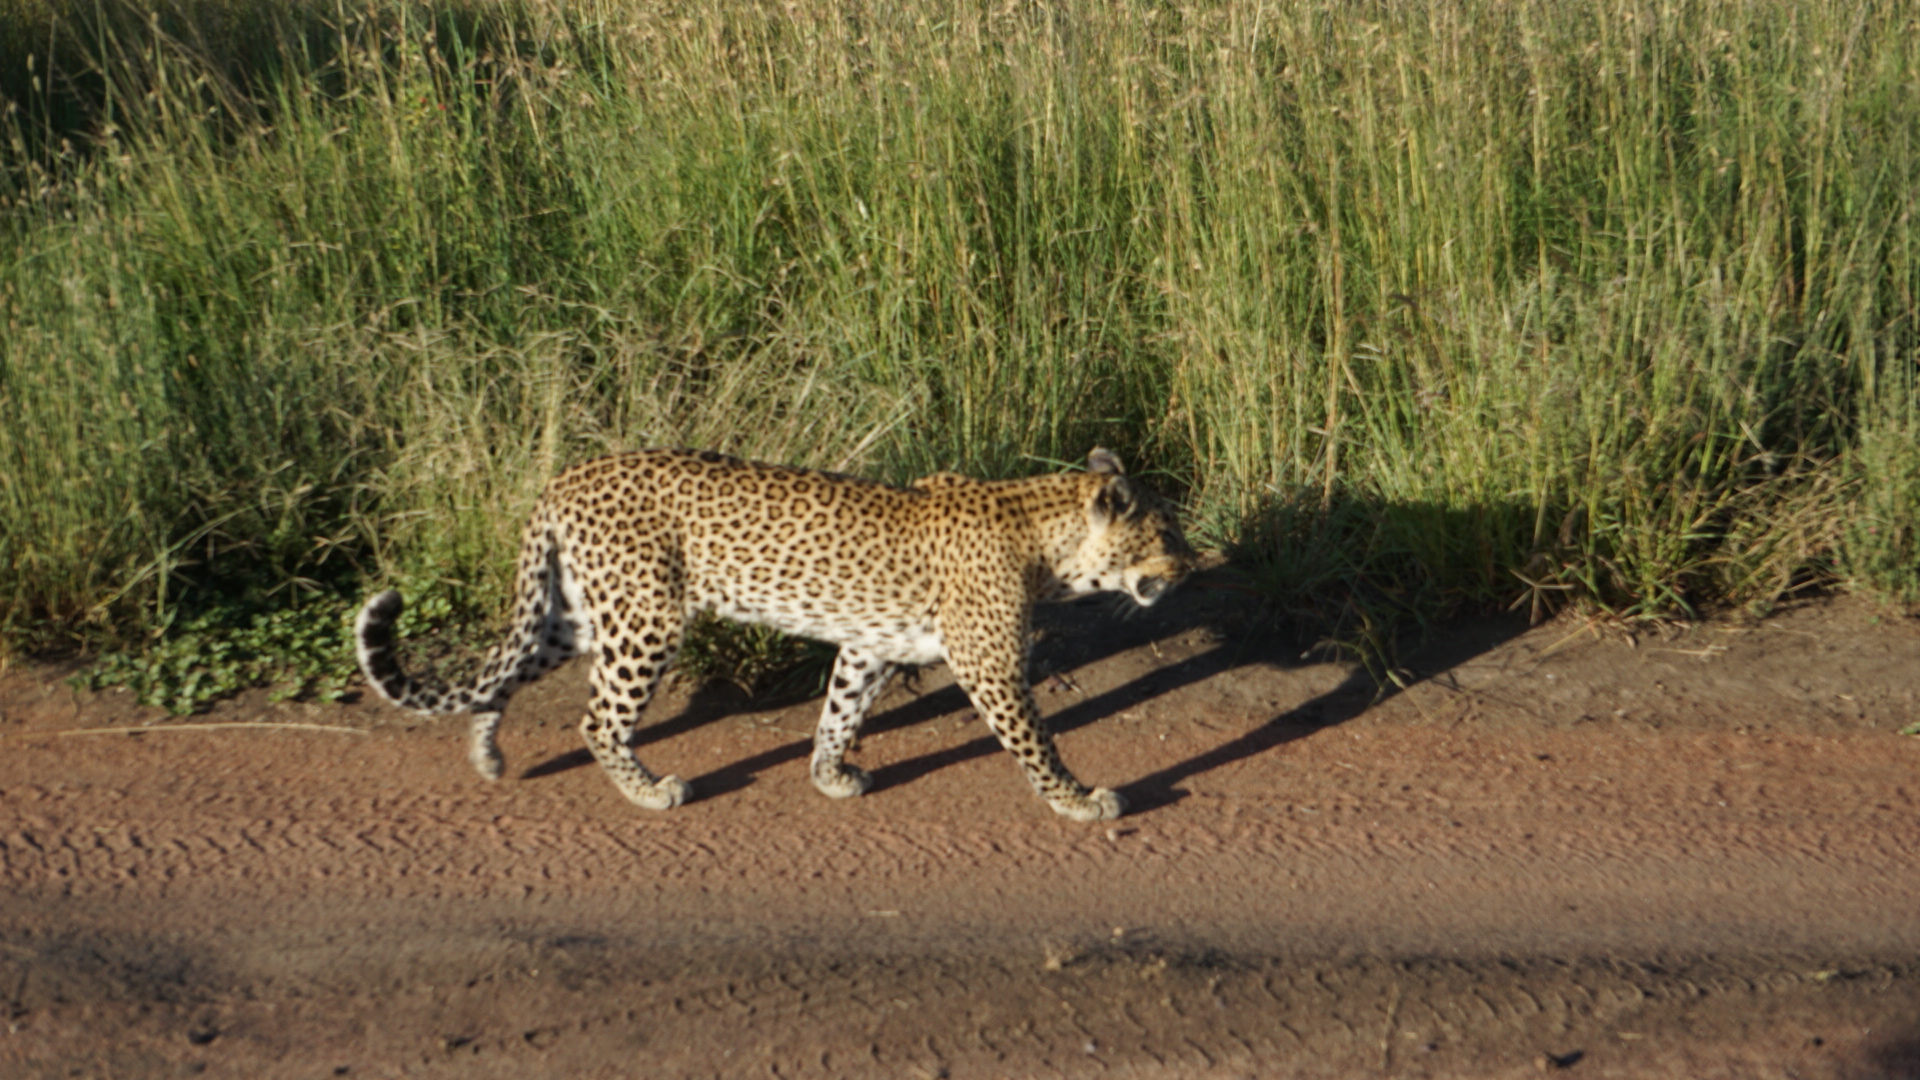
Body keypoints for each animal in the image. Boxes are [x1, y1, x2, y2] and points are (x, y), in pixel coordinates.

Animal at [355, 443, 1190, 814]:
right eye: (1164, 533)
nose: (1189, 566)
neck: (1044, 535)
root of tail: (565, 477)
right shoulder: (989, 664)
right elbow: (1035, 739)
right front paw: (1079, 800)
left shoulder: (869, 646)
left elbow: (840, 711)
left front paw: (828, 775)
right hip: (645, 619)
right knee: (598, 719)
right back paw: (649, 791)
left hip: (581, 616)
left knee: (501, 672)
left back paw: (486, 754)